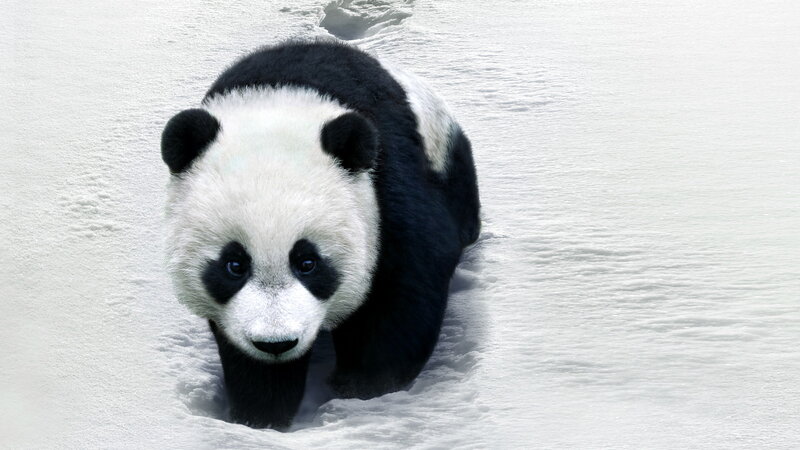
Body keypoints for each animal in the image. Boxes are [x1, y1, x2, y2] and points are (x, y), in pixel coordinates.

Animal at [161, 40, 480, 429]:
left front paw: (362, 389)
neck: (279, 99)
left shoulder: (385, 185)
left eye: (307, 262)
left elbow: (404, 287)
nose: (276, 343)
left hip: (445, 155)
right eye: (234, 265)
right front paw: (260, 412)